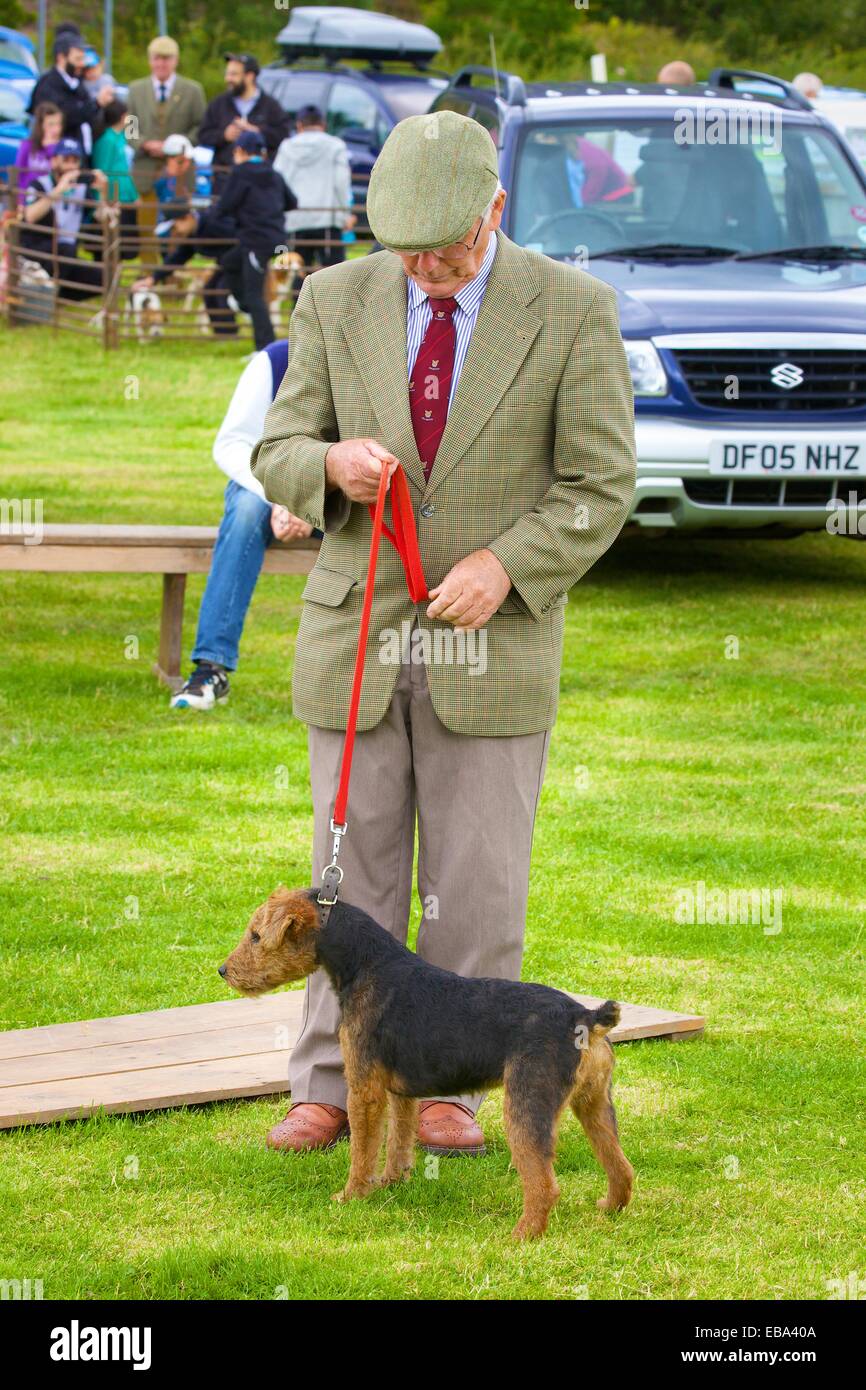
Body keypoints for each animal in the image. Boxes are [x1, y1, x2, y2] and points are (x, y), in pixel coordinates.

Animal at [219, 889, 633, 1239]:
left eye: (256, 936)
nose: (223, 971)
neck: (368, 965)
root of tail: (584, 1017)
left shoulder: (365, 1089)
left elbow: (363, 1151)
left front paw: (352, 1196)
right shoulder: (401, 1092)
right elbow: (399, 1143)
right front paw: (391, 1183)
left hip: (528, 1105)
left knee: (545, 1184)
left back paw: (521, 1236)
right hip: (594, 1103)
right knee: (620, 1165)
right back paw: (610, 1207)